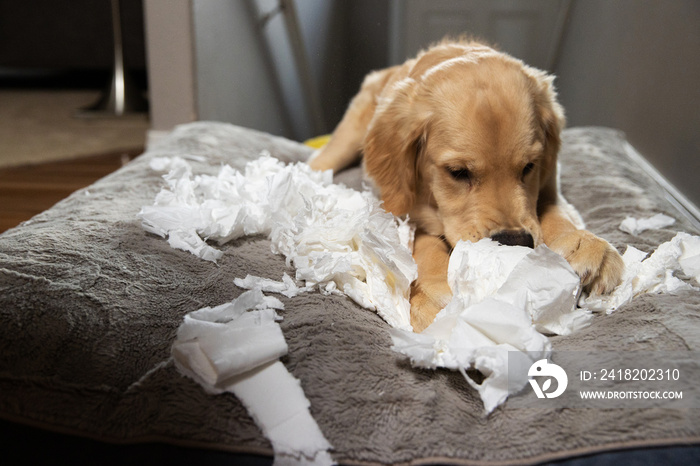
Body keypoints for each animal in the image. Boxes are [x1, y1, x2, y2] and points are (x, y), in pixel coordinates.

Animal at [308, 40, 620, 332]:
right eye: (458, 172)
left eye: (529, 167)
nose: (515, 242)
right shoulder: (406, 209)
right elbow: (424, 245)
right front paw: (435, 296)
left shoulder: (547, 184)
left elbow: (555, 209)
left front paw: (584, 243)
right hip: (346, 140)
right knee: (320, 159)